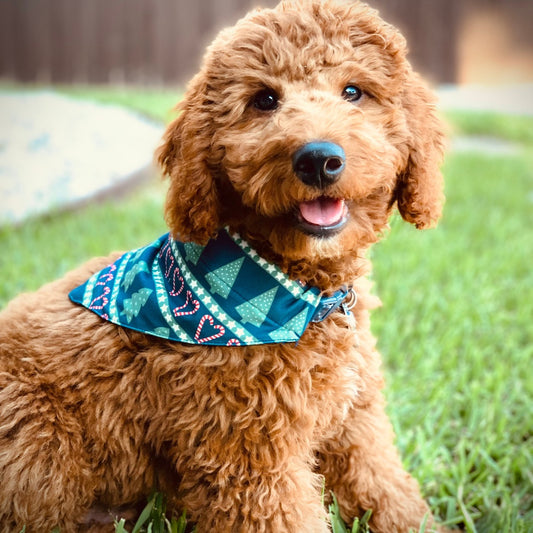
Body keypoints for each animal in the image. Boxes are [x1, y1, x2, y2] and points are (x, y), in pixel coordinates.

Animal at [1, 1, 444, 532]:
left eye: (354, 92)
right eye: (264, 100)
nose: (318, 159)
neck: (290, 291)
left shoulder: (355, 423)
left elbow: (387, 491)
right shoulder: (248, 455)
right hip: (39, 434)